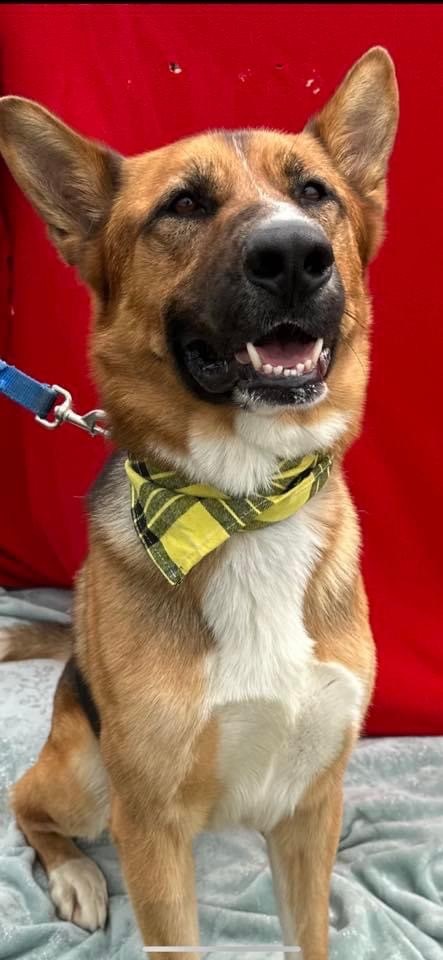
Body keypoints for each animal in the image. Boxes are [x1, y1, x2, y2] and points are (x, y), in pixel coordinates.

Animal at [0, 48, 398, 960]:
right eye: (183, 204)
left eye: (314, 192)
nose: (294, 256)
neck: (243, 500)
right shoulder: (150, 826)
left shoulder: (310, 806)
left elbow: (308, 934)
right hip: (88, 777)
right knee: (27, 802)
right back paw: (74, 876)